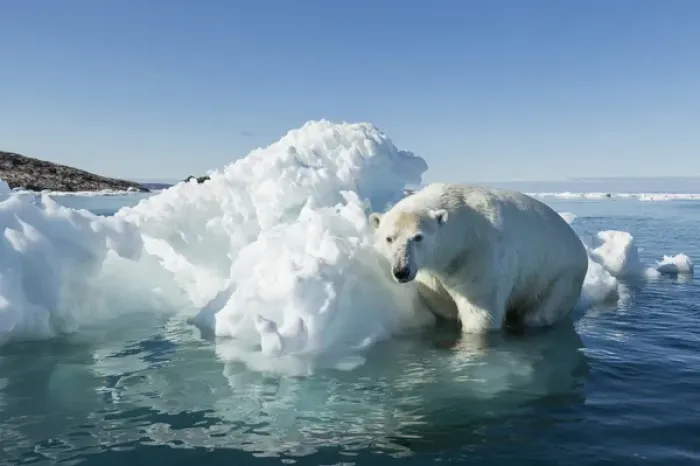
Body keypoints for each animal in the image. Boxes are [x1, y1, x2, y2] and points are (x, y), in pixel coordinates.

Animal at [368, 183, 589, 333]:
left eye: (418, 237)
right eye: (389, 238)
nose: (401, 271)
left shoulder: (478, 255)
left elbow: (480, 310)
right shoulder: (433, 269)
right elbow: (441, 301)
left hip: (560, 275)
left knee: (542, 312)